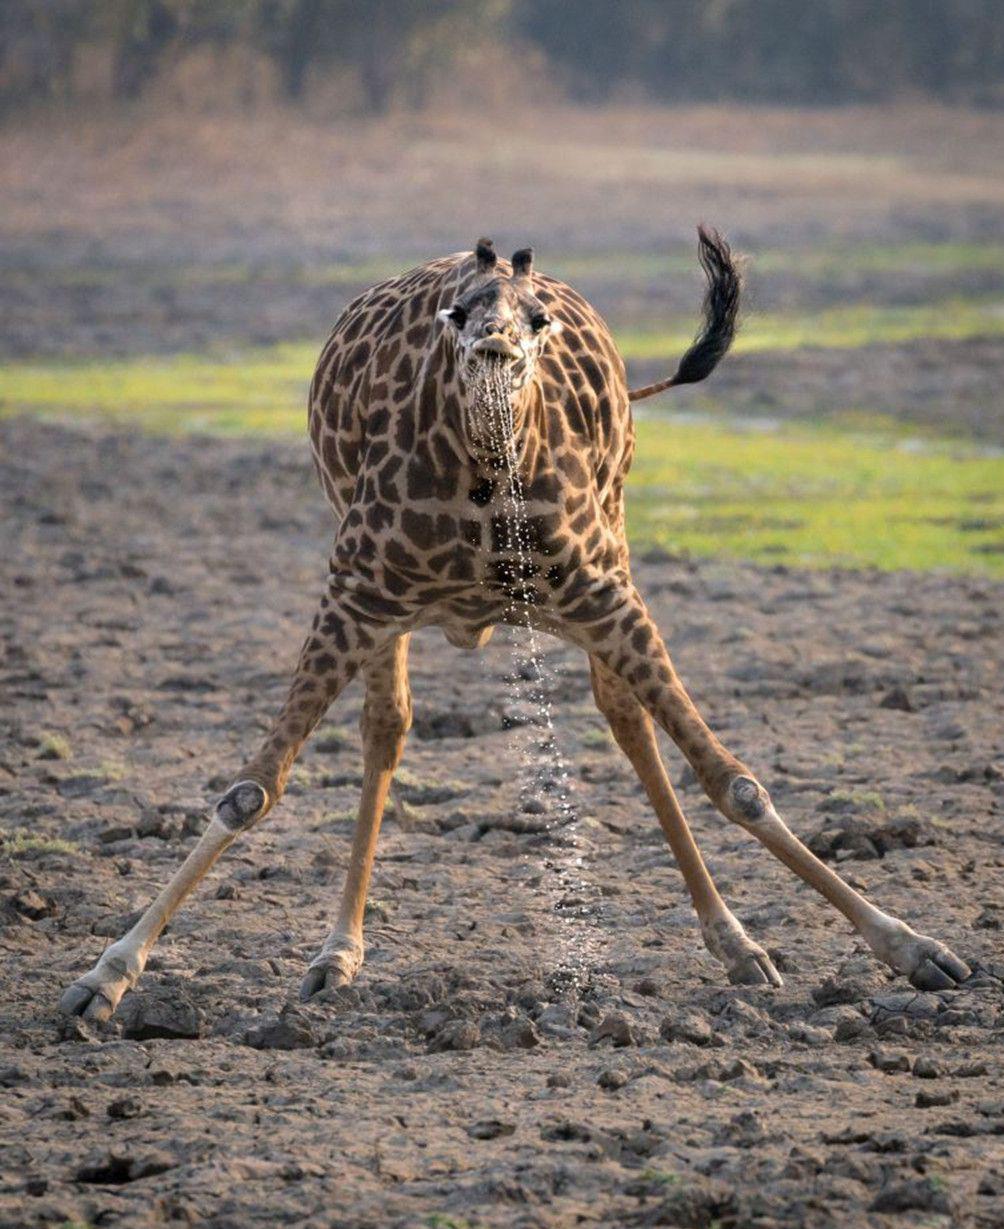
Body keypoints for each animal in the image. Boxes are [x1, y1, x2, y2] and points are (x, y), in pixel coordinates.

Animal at [58, 228, 968, 1017]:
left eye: (535, 320)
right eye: (456, 313)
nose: (496, 345)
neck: (487, 473)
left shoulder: (603, 592)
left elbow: (734, 780)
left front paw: (916, 948)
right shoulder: (354, 591)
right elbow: (252, 789)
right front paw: (105, 976)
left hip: (614, 541)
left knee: (625, 718)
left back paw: (738, 943)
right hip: (386, 598)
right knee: (388, 726)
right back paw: (336, 952)